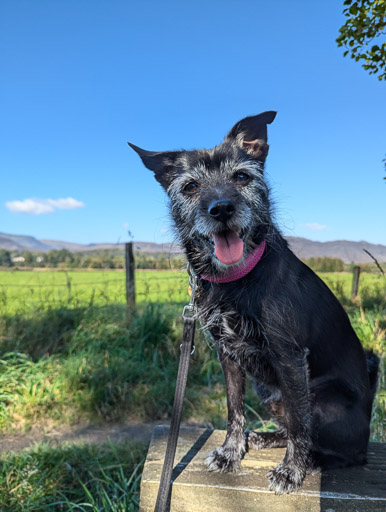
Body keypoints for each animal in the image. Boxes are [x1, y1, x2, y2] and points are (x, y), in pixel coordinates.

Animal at [129, 111, 376, 492]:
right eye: (190, 187)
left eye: (242, 177)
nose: (221, 209)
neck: (237, 279)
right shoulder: (228, 354)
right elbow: (234, 410)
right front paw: (231, 453)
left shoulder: (290, 357)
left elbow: (301, 426)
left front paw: (291, 470)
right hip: (270, 393)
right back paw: (265, 437)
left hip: (320, 397)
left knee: (345, 450)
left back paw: (313, 461)